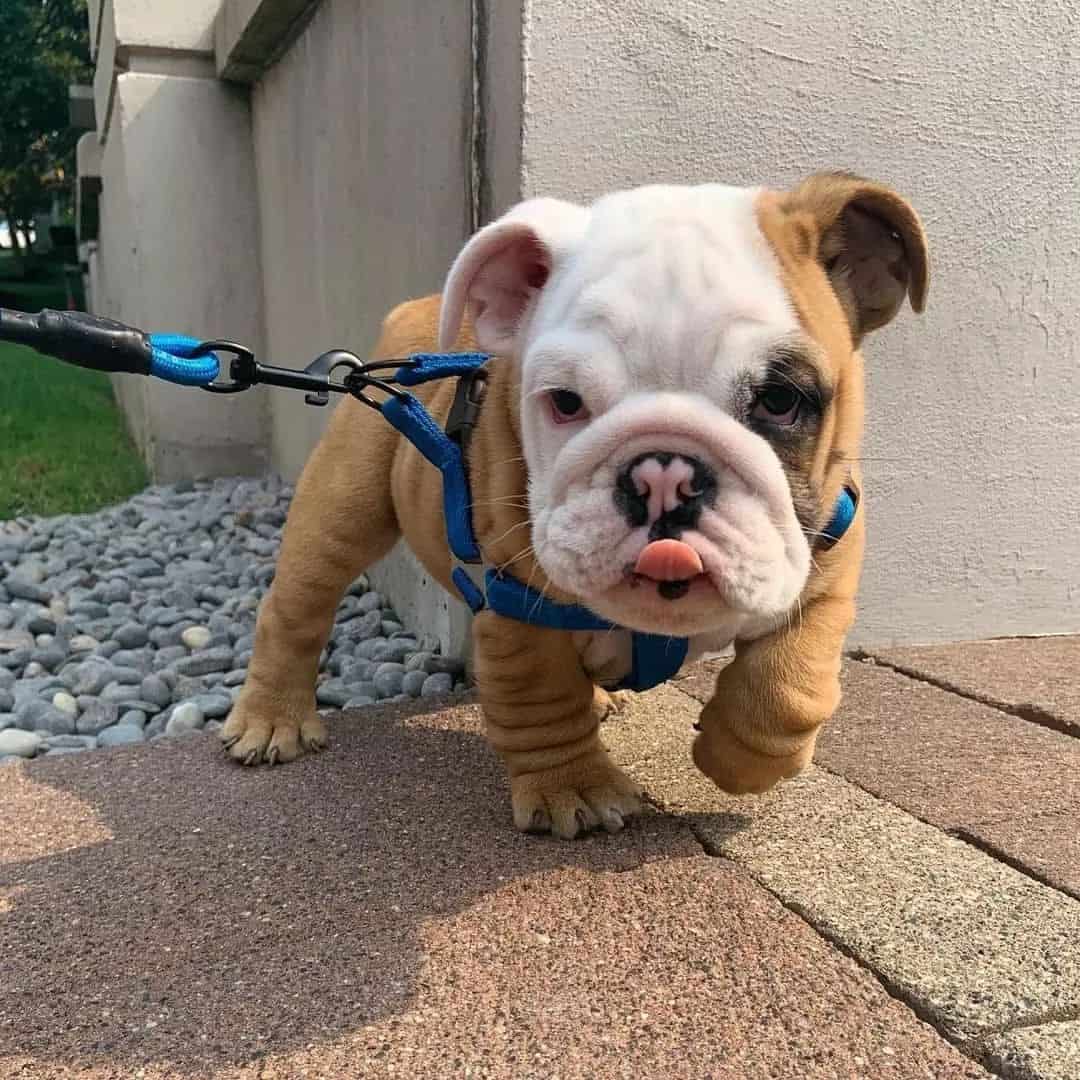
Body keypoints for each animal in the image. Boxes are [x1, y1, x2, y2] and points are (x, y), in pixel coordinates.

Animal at [221, 172, 928, 838]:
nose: (663, 474)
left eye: (781, 400)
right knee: (297, 606)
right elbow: (542, 695)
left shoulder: (828, 559)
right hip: (345, 502)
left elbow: (789, 684)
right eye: (565, 402)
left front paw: (738, 761)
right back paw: (271, 722)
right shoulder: (517, 600)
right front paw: (575, 791)